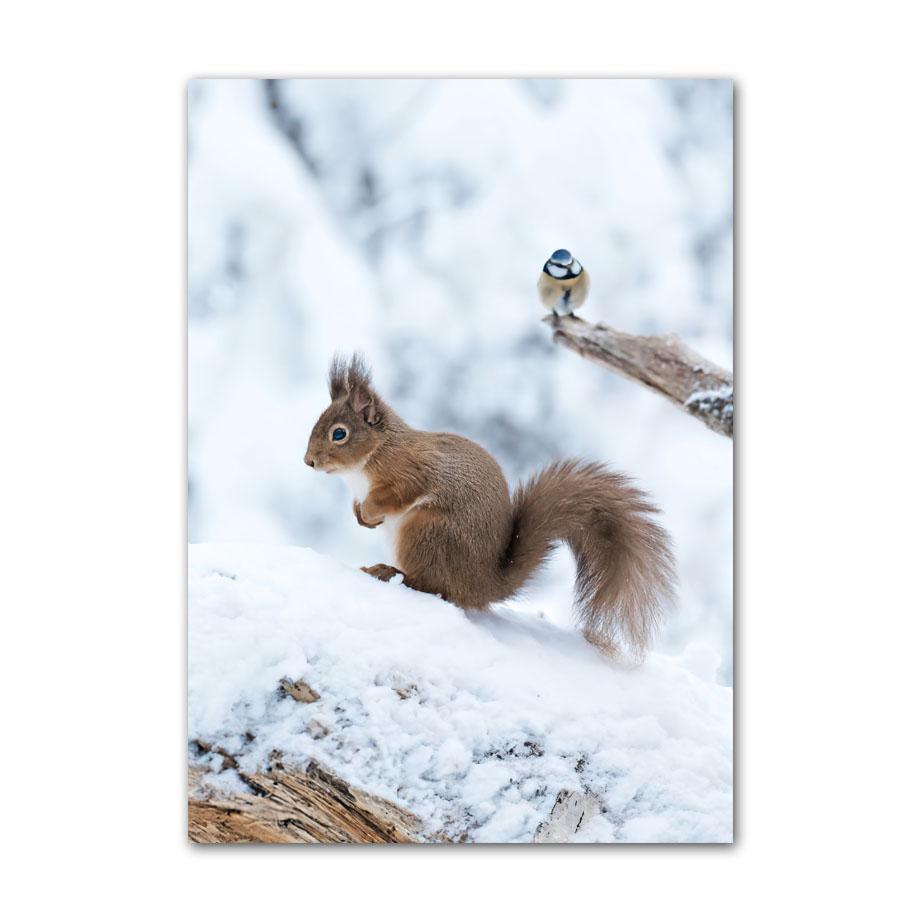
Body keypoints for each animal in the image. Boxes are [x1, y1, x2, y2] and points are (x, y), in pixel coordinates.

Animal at [304, 354, 676, 659]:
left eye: (340, 434)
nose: (308, 462)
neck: (372, 457)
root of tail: (484, 585)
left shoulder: (410, 473)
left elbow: (394, 496)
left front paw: (369, 512)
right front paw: (362, 518)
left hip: (426, 531)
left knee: (433, 588)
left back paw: (388, 572)